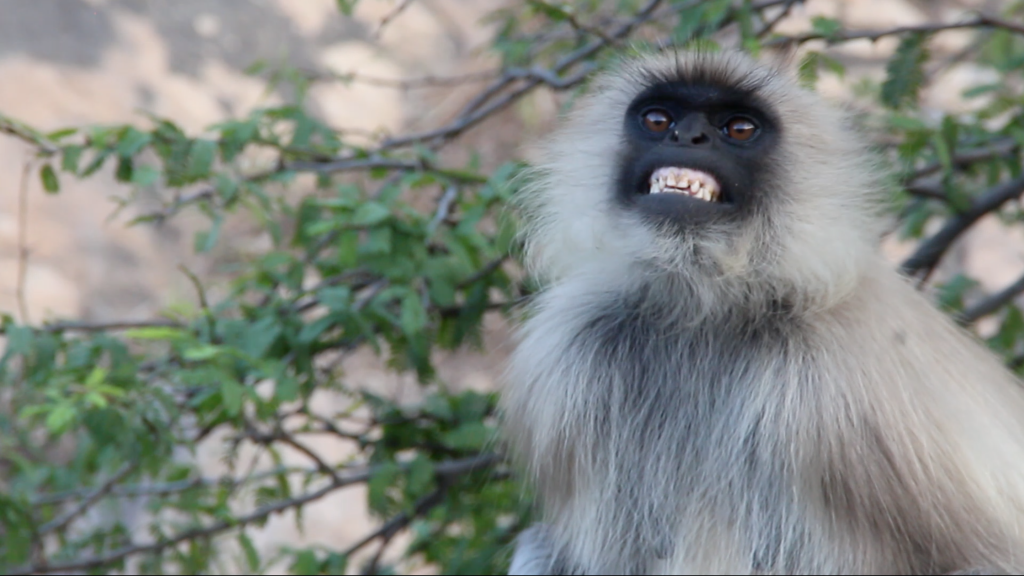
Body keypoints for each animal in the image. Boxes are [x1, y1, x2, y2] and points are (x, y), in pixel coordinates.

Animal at [499, 50, 1024, 573]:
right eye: (657, 119)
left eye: (739, 129)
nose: (687, 137)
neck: (708, 311)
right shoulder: (571, 342)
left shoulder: (848, 380)